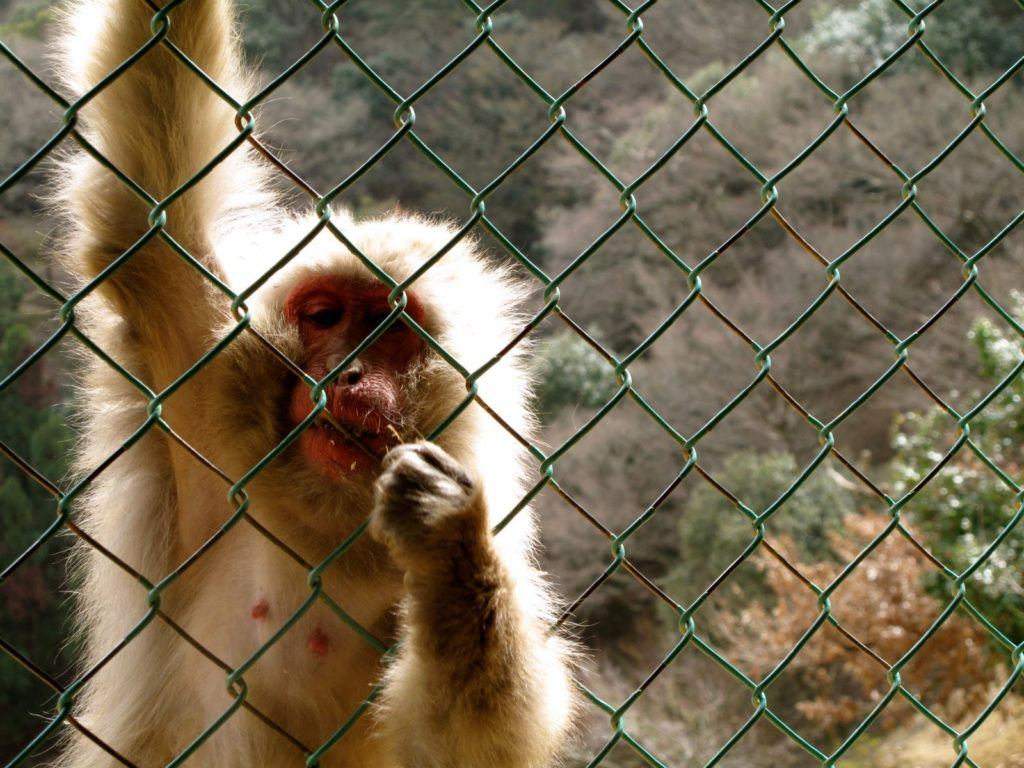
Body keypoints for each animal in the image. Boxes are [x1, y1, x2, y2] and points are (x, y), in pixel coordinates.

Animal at [49, 1, 577, 768]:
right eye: (325, 316)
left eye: (389, 329)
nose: (349, 372)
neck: (323, 511)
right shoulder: (205, 381)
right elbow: (150, 213)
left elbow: (461, 745)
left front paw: (450, 542)